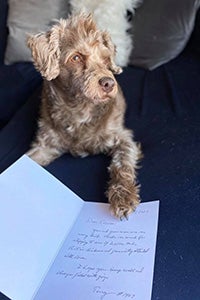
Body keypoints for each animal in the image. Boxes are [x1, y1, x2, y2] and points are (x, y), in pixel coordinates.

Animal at [27, 12, 142, 219]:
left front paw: (123, 197)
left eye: (106, 59)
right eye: (76, 57)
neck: (79, 110)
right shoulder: (45, 146)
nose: (108, 83)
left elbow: (122, 164)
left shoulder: (123, 138)